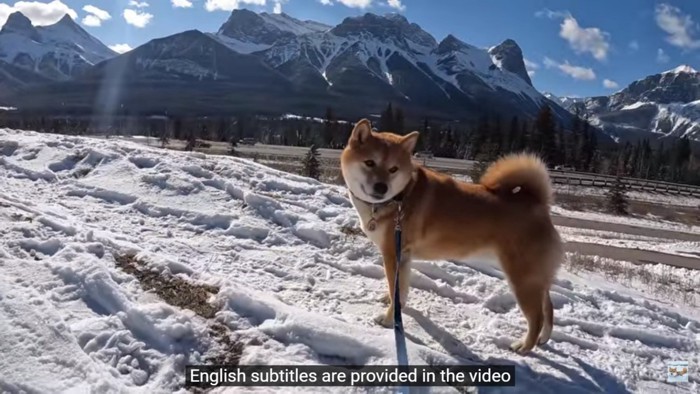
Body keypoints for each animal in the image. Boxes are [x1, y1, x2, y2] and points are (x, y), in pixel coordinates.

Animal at [340, 118, 564, 356]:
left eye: (393, 169)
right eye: (369, 162)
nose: (381, 187)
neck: (400, 198)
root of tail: (538, 205)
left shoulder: (393, 253)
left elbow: (396, 288)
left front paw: (388, 318)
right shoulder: (404, 256)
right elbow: (400, 289)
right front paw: (393, 301)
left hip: (522, 279)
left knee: (537, 317)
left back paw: (524, 346)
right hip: (535, 277)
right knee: (548, 307)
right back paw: (543, 339)